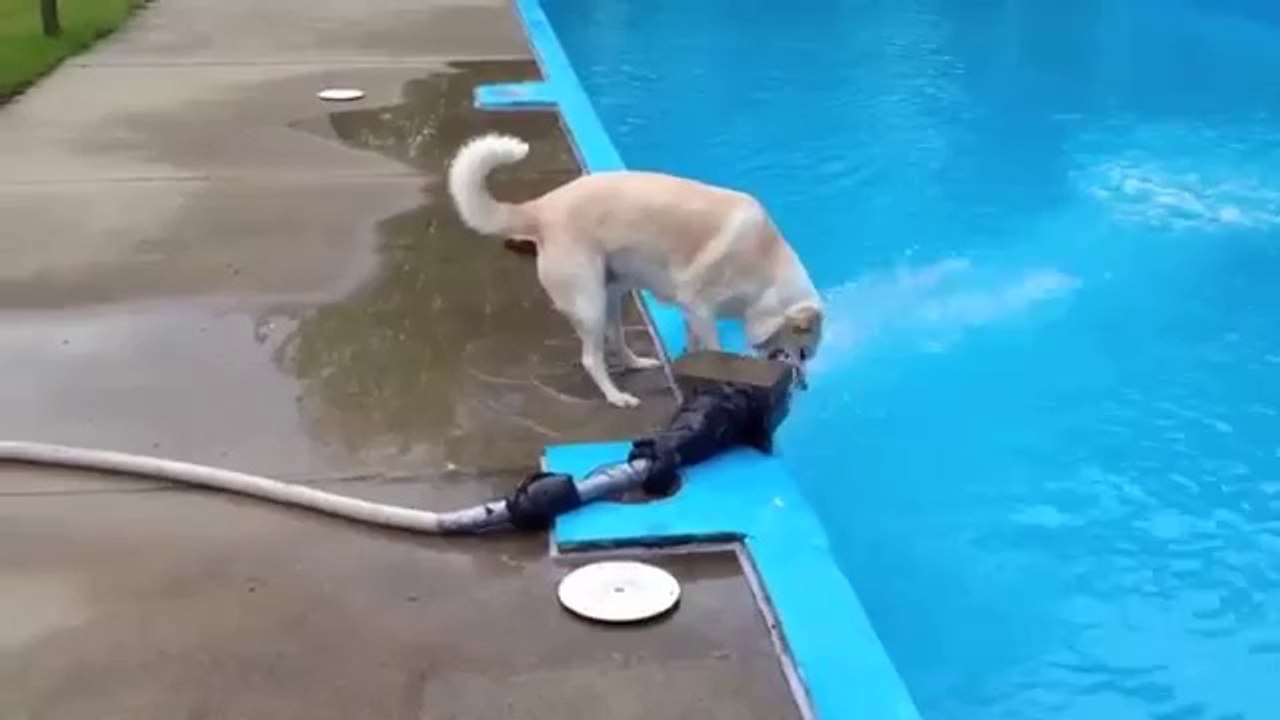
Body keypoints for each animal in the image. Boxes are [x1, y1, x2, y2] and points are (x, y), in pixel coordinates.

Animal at [450, 132, 824, 407]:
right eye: (803, 351)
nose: (803, 386)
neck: (767, 267)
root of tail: (541, 207)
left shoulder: (692, 312)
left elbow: (695, 346)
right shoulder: (700, 307)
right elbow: (713, 347)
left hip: (613, 292)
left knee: (616, 338)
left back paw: (636, 363)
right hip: (590, 301)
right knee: (592, 358)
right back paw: (617, 397)